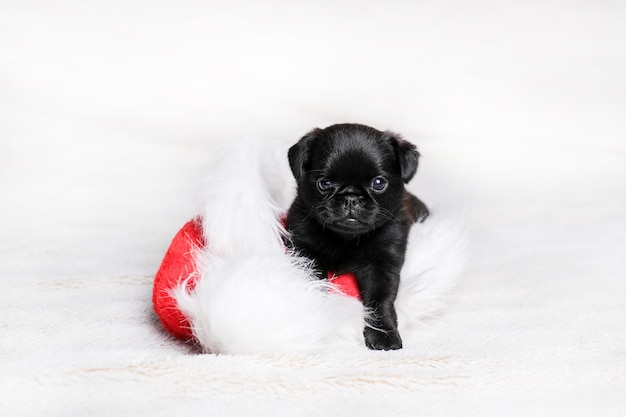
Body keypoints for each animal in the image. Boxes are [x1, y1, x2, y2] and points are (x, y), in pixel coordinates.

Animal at [286, 122, 426, 350]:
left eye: (378, 183)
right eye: (324, 184)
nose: (351, 197)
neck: (346, 238)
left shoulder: (382, 266)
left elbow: (380, 301)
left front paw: (384, 335)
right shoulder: (304, 251)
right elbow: (316, 284)